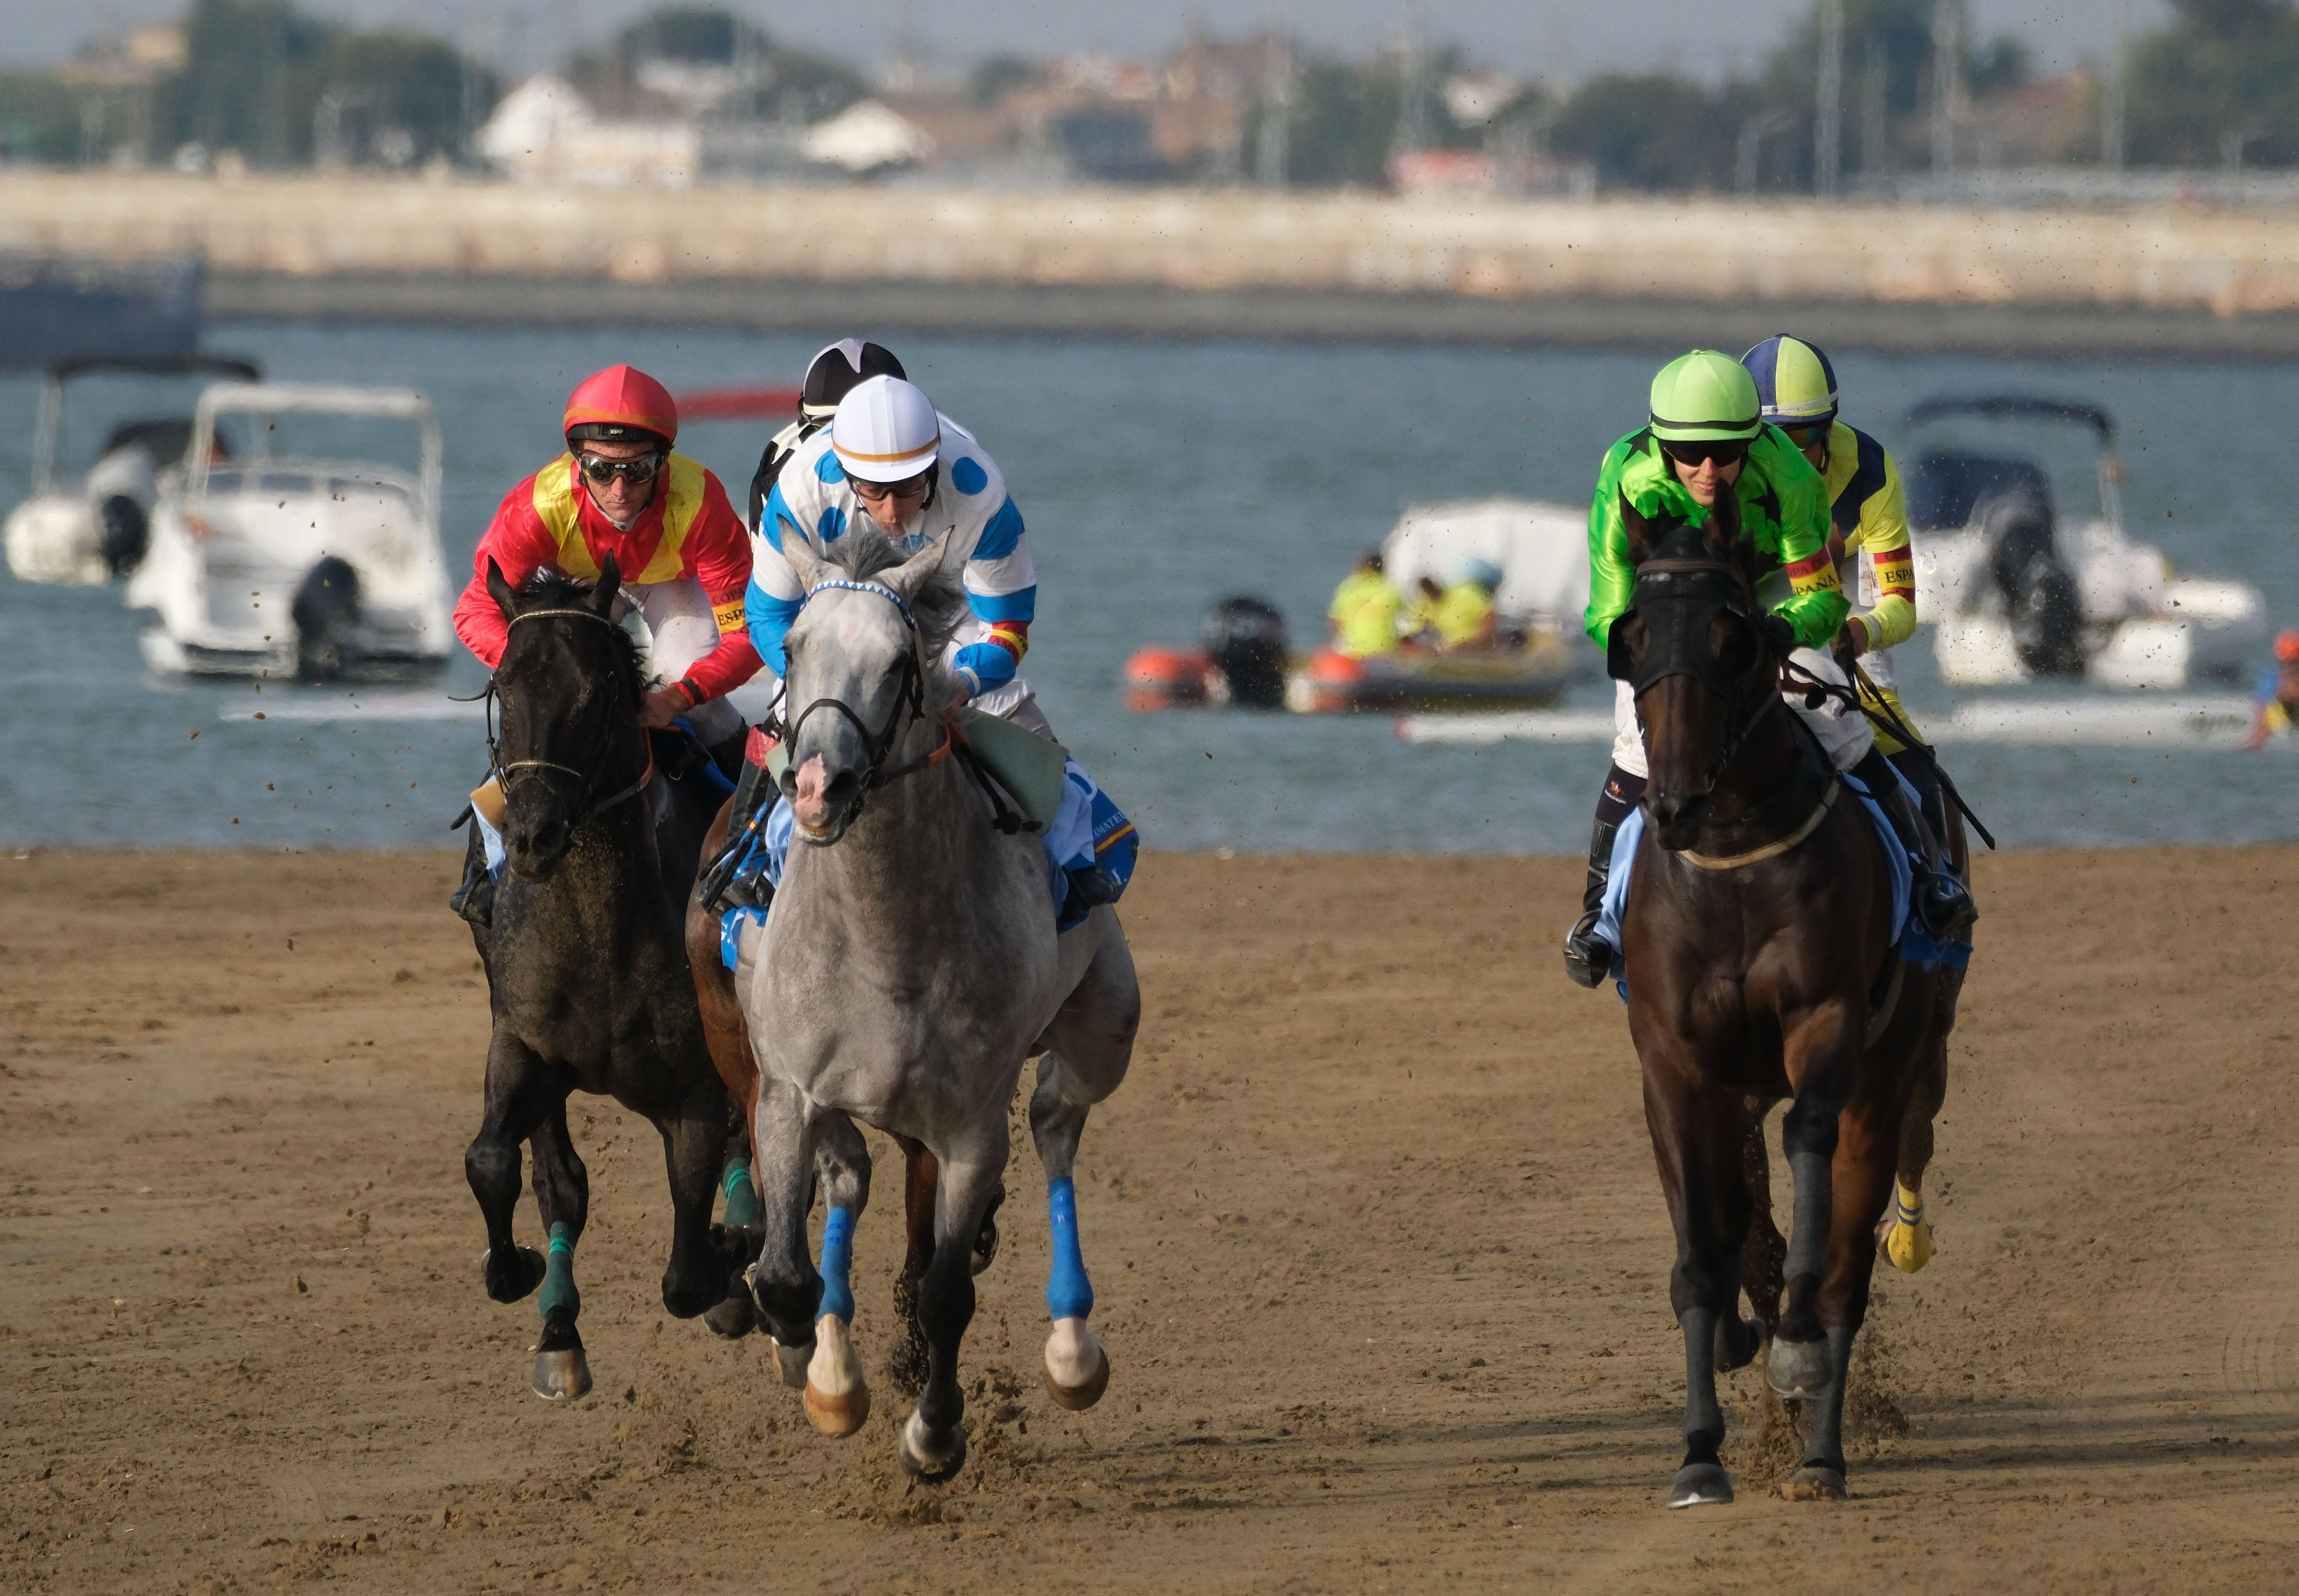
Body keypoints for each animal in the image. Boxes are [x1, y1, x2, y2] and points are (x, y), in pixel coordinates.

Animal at [461, 556, 740, 1400]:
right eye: (503, 685)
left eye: (599, 690)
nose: (532, 835)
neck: (597, 932)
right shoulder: (523, 1044)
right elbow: (497, 1162)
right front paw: (516, 1270)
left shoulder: (695, 1083)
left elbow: (688, 1275)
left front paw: (731, 1262)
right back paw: (559, 1326)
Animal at [724, 525, 1139, 1480]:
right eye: (793, 647)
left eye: (897, 661)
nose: (818, 786)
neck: (887, 941)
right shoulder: (789, 1089)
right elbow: (786, 1275)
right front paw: (807, 1357)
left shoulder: (970, 1125)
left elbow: (945, 1289)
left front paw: (935, 1434)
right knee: (848, 1176)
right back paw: (832, 1372)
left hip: (1107, 1024)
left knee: (1056, 1123)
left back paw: (1072, 1350)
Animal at [1606, 489, 1959, 1507]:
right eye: (1629, 635)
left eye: (1731, 634)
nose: (1674, 802)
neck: (1731, 855)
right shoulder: (1675, 1061)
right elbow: (1707, 1242)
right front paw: (1699, 1448)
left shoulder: (1826, 1023)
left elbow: (1809, 1154)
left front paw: (1793, 1352)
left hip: (1900, 1058)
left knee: (1850, 1251)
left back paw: (1820, 1449)